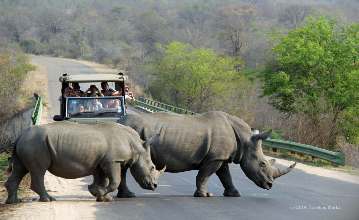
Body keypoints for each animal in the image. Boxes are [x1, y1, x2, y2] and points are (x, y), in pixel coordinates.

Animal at [4, 121, 165, 204]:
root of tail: (20, 136)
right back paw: (48, 200)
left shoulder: (103, 162)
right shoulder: (112, 160)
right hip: (36, 143)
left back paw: (14, 202)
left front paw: (100, 195)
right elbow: (115, 180)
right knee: (39, 170)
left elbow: (103, 179)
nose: (154, 186)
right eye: (152, 167)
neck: (136, 146)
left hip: (29, 143)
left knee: (20, 169)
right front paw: (98, 193)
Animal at [118, 111, 296, 198]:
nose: (270, 185)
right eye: (263, 164)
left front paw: (234, 194)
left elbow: (225, 176)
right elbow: (204, 175)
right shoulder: (214, 158)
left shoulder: (221, 157)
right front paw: (205, 195)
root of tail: (120, 121)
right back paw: (129, 196)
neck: (245, 140)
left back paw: (127, 195)